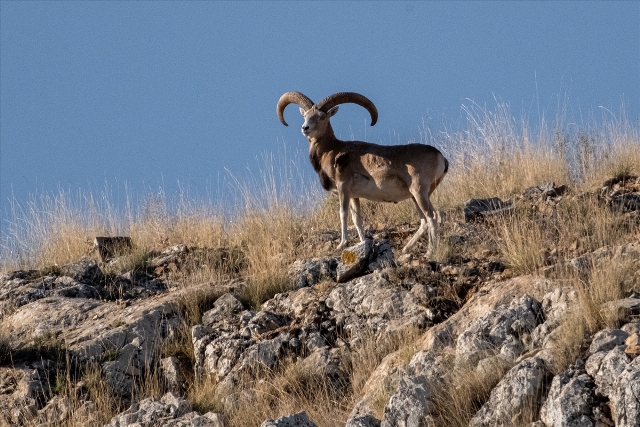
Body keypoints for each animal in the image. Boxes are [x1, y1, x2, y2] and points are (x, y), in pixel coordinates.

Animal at [276, 92, 450, 256]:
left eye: (322, 116)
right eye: (305, 116)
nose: (305, 128)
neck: (332, 151)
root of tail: (440, 157)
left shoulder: (343, 189)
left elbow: (343, 214)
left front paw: (342, 244)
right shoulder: (354, 196)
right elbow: (357, 220)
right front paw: (363, 243)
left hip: (419, 192)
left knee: (432, 216)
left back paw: (430, 251)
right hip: (416, 196)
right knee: (425, 220)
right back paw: (407, 248)